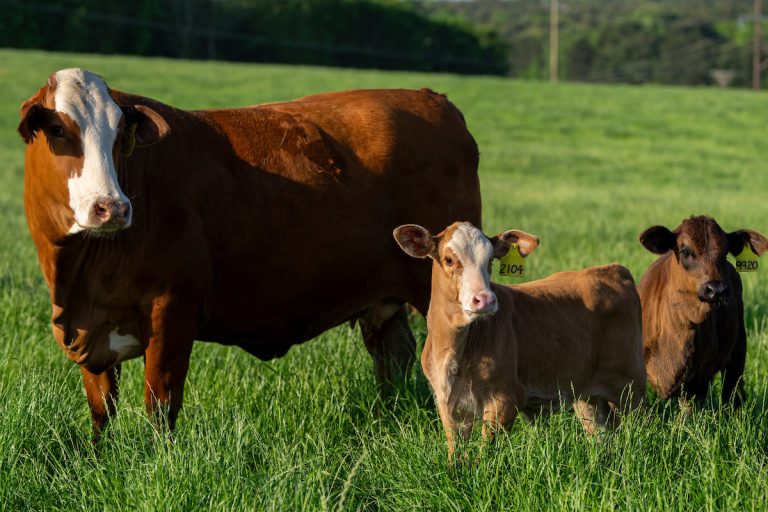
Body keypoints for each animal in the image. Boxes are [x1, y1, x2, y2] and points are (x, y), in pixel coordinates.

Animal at [17, 68, 481, 438]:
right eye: (58, 129)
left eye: (119, 135)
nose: (111, 207)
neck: (80, 275)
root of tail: (428, 97)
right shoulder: (91, 328)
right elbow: (101, 411)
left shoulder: (172, 312)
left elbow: (160, 404)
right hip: (386, 305)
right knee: (394, 362)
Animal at [393, 221, 646, 458]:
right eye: (448, 260)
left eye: (490, 261)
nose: (485, 300)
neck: (456, 350)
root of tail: (611, 269)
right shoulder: (447, 403)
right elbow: (456, 453)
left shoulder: (505, 399)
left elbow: (486, 453)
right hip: (587, 395)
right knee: (602, 434)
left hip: (631, 386)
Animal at [637, 215, 768, 408]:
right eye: (685, 251)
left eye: (725, 253)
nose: (716, 289)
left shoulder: (698, 376)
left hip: (739, 346)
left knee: (733, 390)